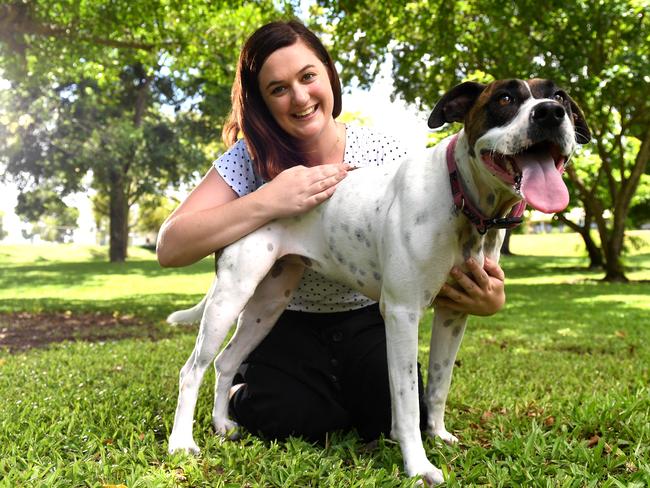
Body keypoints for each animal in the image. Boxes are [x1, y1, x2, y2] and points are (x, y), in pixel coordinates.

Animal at [166, 79, 588, 484]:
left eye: (561, 97)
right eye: (504, 99)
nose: (550, 113)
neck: (461, 198)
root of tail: (251, 197)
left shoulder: (454, 314)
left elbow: (438, 384)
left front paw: (438, 436)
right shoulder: (402, 314)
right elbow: (406, 399)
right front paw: (418, 465)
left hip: (265, 306)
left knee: (225, 363)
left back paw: (222, 425)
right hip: (230, 297)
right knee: (192, 371)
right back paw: (182, 443)